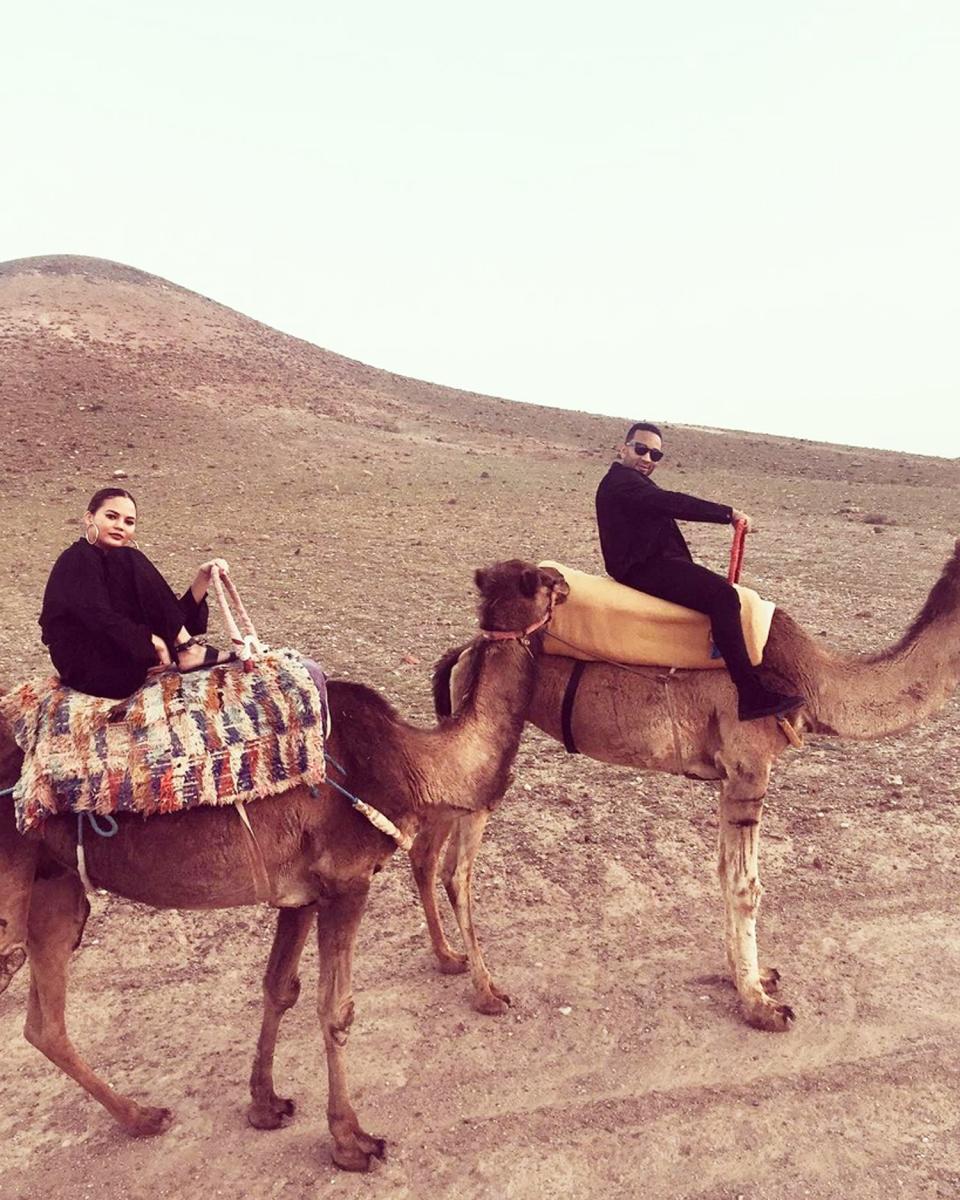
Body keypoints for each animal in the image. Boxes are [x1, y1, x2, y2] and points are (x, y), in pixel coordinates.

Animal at [0, 561, 571, 1171]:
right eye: (539, 581)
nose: (565, 581)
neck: (411, 763)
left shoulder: (301, 893)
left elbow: (280, 987)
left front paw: (265, 1104)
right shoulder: (347, 881)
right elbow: (336, 1008)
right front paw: (351, 1142)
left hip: (54, 884)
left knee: (44, 1025)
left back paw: (142, 1116)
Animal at [415, 544, 960, 1032]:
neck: (811, 682)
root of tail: (466, 651)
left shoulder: (729, 778)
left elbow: (723, 873)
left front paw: (750, 976)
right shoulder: (750, 768)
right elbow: (745, 885)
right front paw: (761, 1007)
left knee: (426, 852)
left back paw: (448, 958)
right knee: (457, 871)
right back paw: (487, 992)